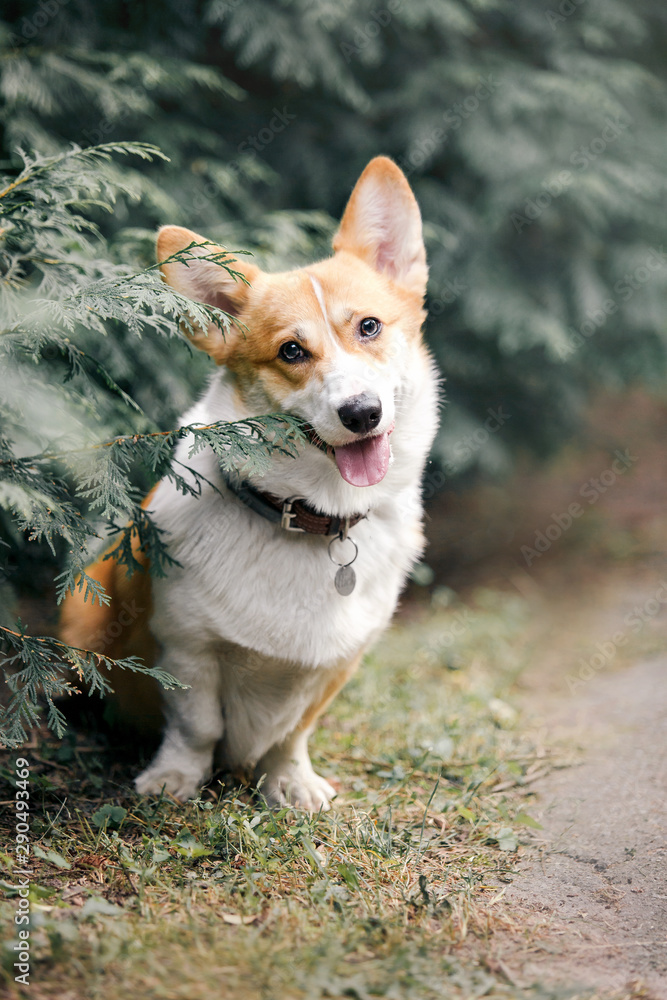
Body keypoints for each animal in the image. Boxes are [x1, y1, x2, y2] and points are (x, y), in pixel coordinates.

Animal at [60, 158, 440, 812]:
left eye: (369, 327)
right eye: (291, 351)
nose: (362, 413)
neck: (310, 517)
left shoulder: (339, 662)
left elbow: (294, 731)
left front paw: (291, 782)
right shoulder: (186, 646)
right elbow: (196, 726)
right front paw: (175, 780)